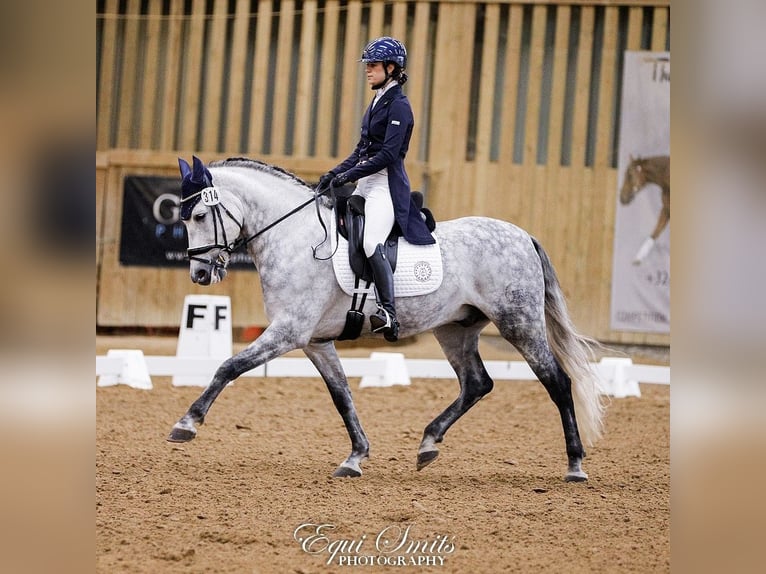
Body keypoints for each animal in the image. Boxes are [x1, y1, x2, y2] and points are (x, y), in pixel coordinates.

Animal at [167, 156, 605, 482]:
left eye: (201, 215)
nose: (200, 275)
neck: (296, 237)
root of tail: (523, 236)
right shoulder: (315, 342)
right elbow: (342, 396)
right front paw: (355, 457)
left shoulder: (289, 331)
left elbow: (229, 366)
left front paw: (187, 423)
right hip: (455, 329)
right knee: (477, 383)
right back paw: (428, 444)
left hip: (519, 323)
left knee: (557, 382)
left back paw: (575, 465)